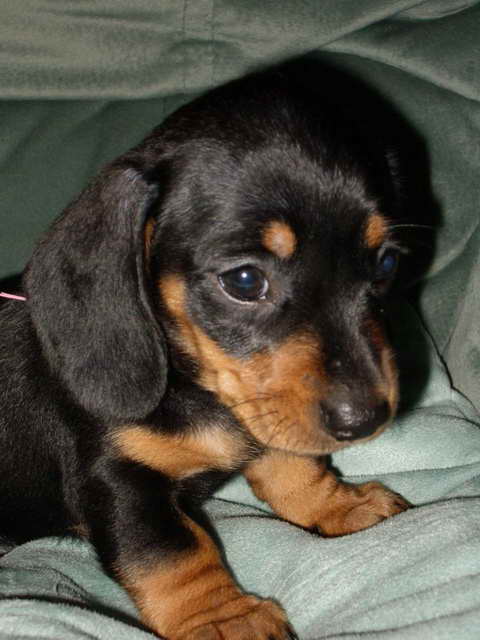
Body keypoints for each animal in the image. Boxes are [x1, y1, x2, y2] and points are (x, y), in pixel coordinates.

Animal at [0, 71, 408, 640]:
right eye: (245, 280)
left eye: (386, 263)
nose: (365, 419)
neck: (197, 388)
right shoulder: (118, 478)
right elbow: (174, 555)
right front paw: (224, 617)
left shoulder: (267, 410)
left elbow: (294, 465)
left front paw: (339, 503)